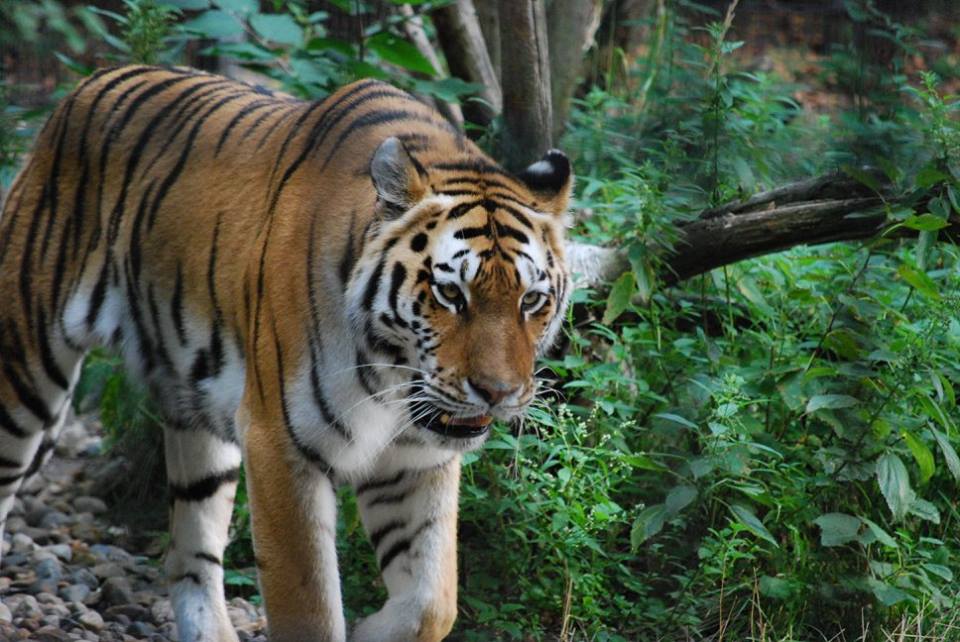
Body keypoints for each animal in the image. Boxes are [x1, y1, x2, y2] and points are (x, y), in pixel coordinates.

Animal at [0, 64, 572, 641]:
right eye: (451, 294)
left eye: (531, 300)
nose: (497, 393)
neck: (391, 377)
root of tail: (89, 81)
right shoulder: (279, 443)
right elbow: (309, 608)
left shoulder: (416, 458)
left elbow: (433, 602)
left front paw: (369, 631)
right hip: (25, 374)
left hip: (199, 423)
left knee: (188, 554)